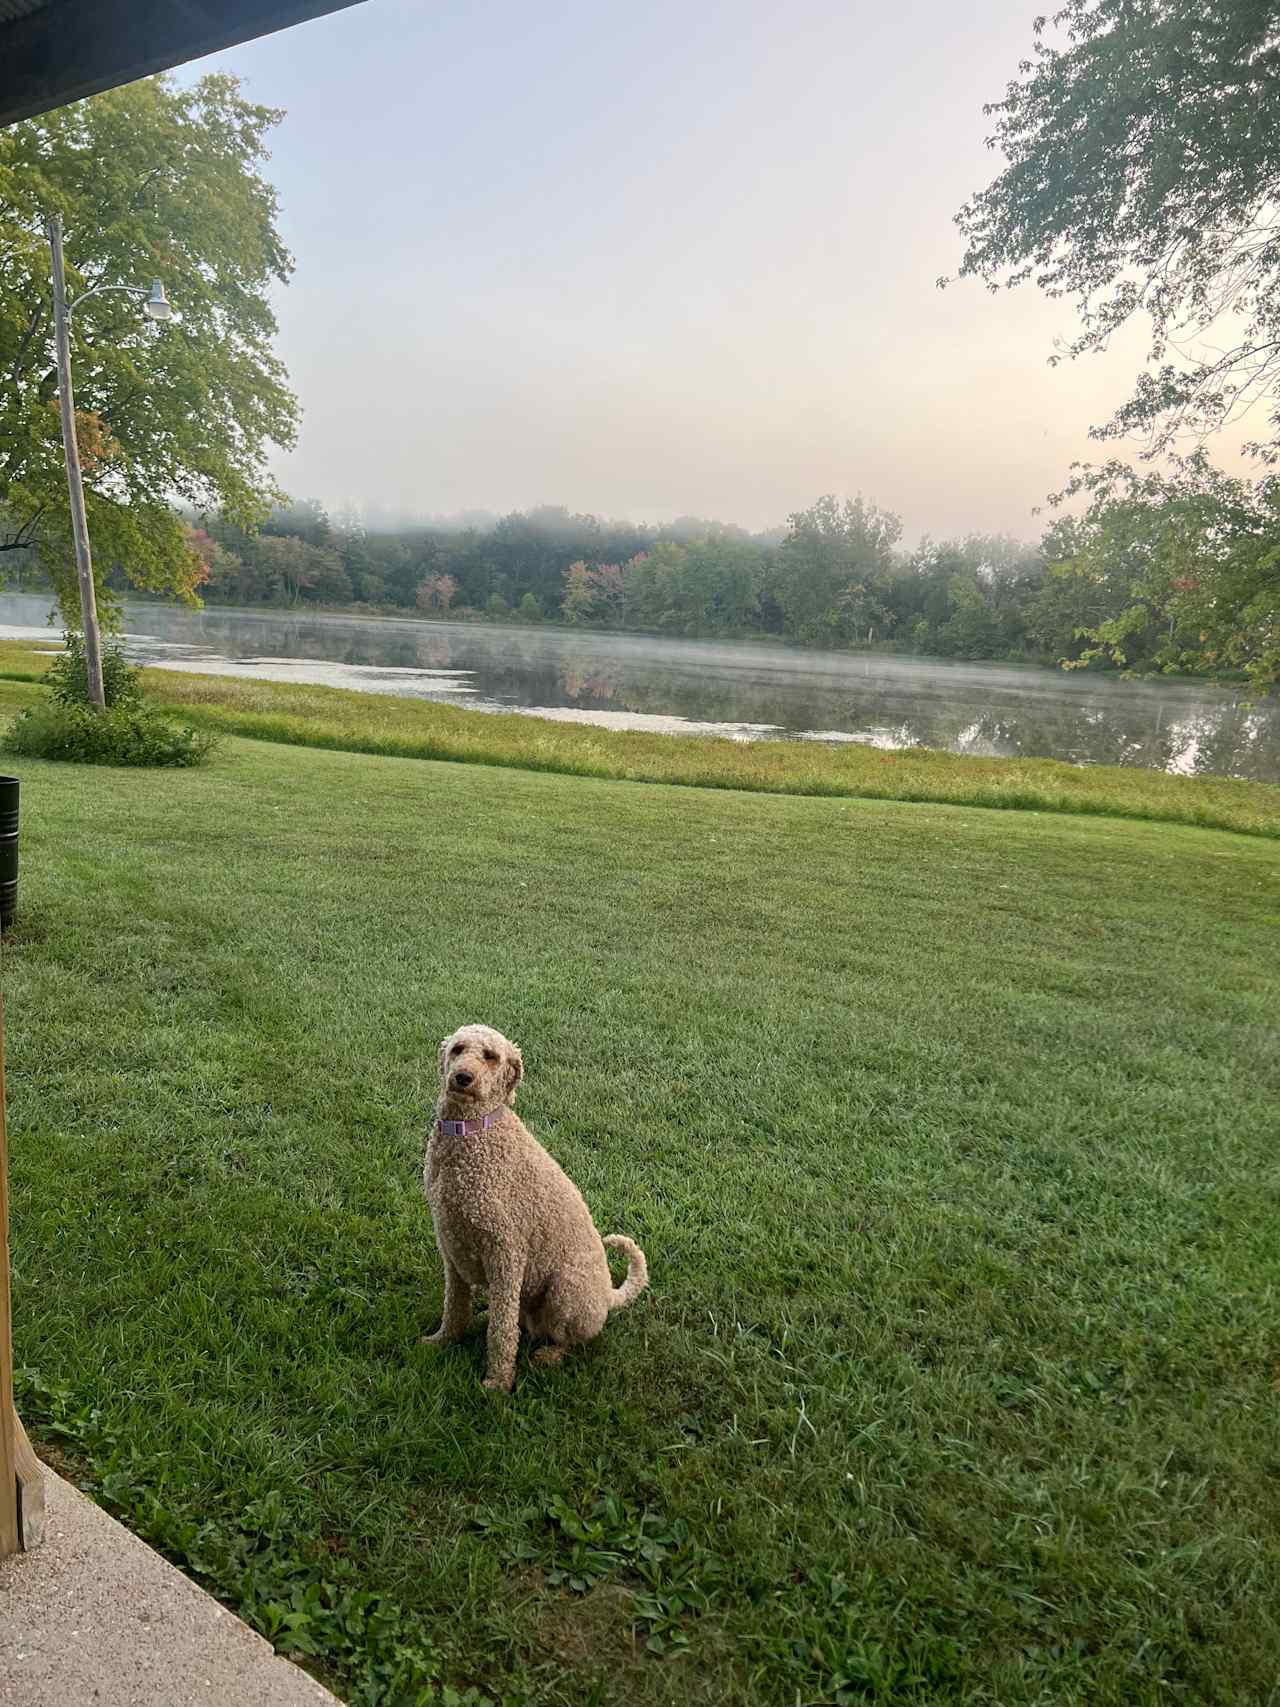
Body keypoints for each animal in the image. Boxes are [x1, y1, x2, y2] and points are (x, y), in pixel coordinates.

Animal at [426, 1024, 651, 1386]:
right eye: (458, 1049)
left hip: (566, 1291)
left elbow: (501, 1332)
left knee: (569, 1338)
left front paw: (497, 1384)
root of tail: (608, 1295)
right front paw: (443, 1341)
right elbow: (455, 1307)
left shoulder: (506, 1251)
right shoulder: (450, 1245)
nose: (462, 1077)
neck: (470, 1134)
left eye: (491, 1056)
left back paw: (549, 1355)